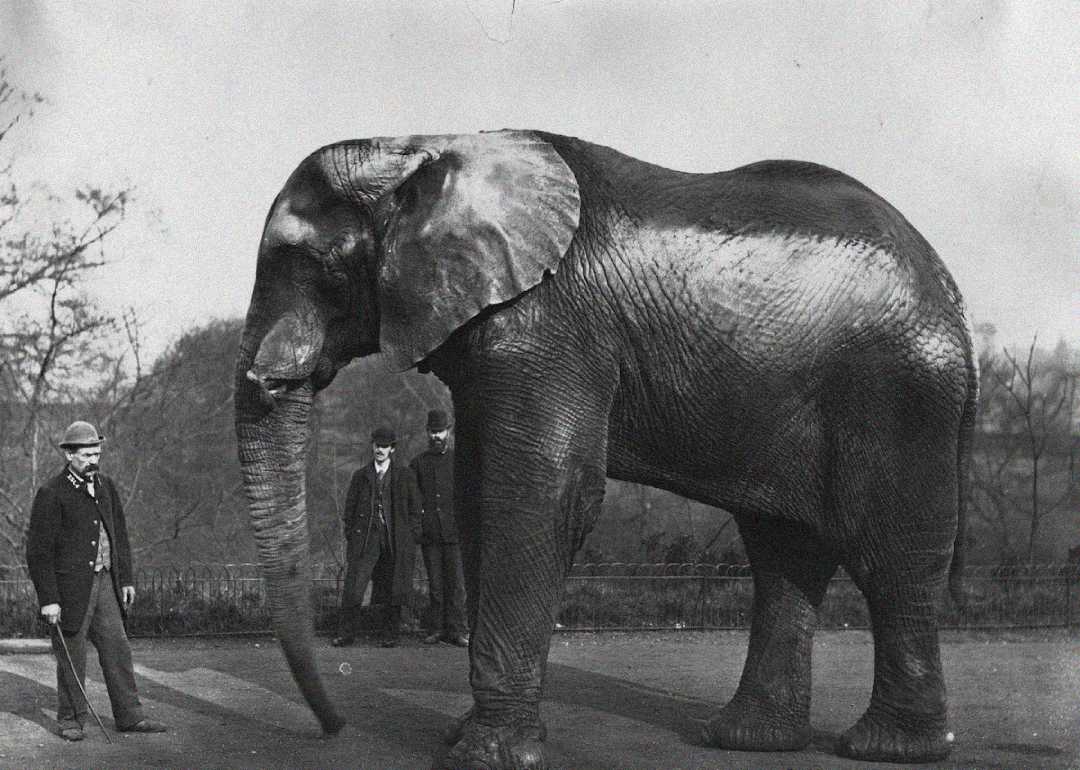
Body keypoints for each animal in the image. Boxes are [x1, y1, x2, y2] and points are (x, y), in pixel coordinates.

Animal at [234, 129, 976, 767]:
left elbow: (542, 493)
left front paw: (485, 756)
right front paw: (464, 738)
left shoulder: (550, 324)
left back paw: (887, 749)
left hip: (899, 393)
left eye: (323, 269)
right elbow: (478, 495)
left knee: (889, 555)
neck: (424, 142)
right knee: (783, 553)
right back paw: (747, 740)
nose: (333, 727)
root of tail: (954, 295)